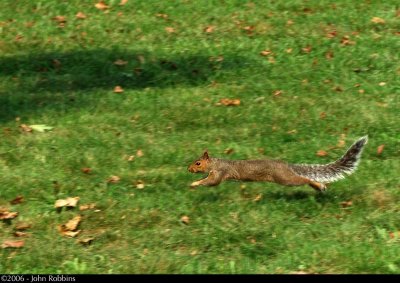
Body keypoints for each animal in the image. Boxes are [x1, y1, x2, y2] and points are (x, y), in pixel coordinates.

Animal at [188, 136, 368, 192]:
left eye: (198, 163)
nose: (189, 169)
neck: (215, 163)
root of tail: (286, 166)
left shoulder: (220, 172)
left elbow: (212, 182)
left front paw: (194, 183)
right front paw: (195, 182)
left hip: (284, 178)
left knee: (303, 179)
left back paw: (318, 185)